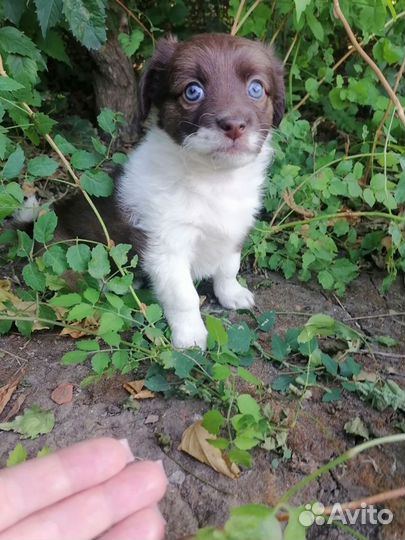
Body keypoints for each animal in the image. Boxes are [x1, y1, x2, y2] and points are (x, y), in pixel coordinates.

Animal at [52, 32, 284, 346]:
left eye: (256, 88)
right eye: (193, 91)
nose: (234, 125)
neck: (213, 179)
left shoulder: (235, 228)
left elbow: (228, 267)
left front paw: (232, 294)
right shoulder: (166, 246)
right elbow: (183, 295)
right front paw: (191, 336)